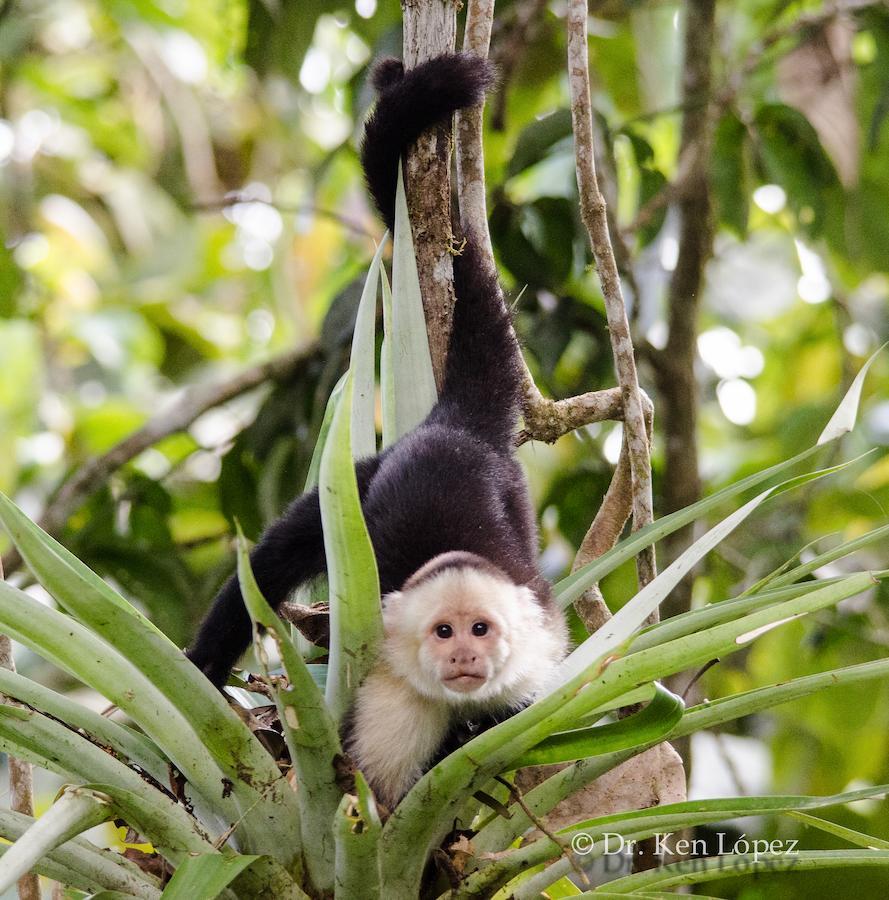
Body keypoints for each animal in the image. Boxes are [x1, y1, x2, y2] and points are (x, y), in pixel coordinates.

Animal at [186, 52, 568, 804]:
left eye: (480, 628)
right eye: (443, 631)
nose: (466, 654)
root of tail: (454, 423)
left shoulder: (537, 657)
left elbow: (518, 721)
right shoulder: (393, 696)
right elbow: (378, 800)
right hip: (365, 479)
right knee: (274, 558)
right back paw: (204, 676)